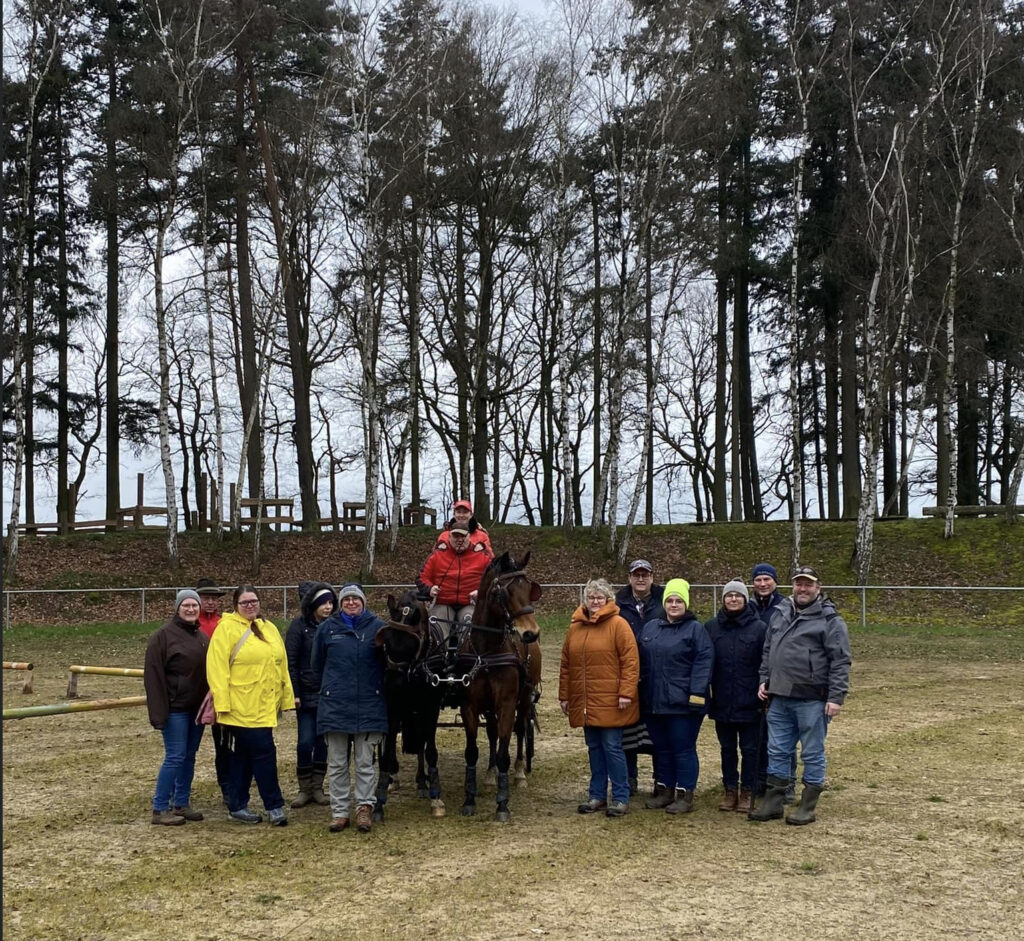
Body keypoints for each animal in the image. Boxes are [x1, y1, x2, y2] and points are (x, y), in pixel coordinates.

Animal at [462, 548, 544, 819]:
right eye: (505, 592)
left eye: (530, 589)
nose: (531, 633)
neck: (485, 651)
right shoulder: (470, 706)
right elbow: (472, 751)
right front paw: (469, 799)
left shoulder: (507, 703)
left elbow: (504, 752)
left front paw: (502, 803)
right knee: (492, 732)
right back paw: (490, 774)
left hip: (525, 697)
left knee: (521, 728)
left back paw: (519, 773)